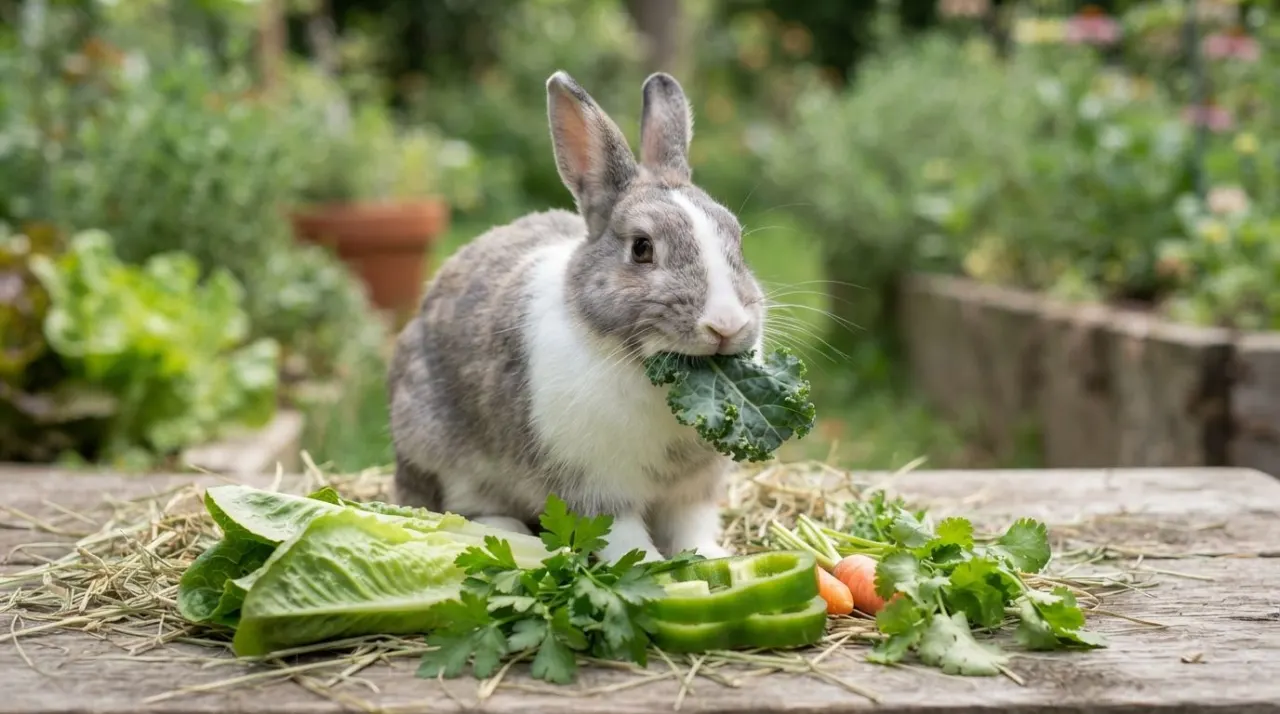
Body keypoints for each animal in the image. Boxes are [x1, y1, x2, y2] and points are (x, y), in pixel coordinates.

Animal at [386, 70, 767, 563]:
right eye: (641, 248)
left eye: (737, 239)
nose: (726, 325)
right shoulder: (595, 487)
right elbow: (623, 537)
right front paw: (651, 567)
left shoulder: (692, 491)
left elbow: (691, 528)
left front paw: (712, 558)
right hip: (441, 452)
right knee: (467, 505)